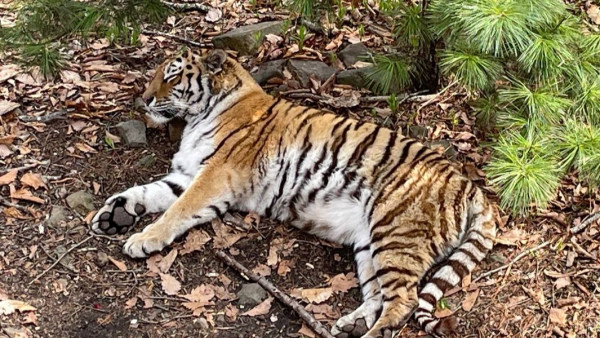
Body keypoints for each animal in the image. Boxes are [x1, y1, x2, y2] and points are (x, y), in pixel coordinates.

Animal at [91, 48, 496, 336]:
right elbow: (151, 190)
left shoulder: (217, 174)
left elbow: (177, 210)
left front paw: (142, 239)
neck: (202, 114)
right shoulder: (191, 172)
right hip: (370, 242)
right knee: (380, 295)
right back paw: (351, 324)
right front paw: (113, 214)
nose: (144, 99)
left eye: (171, 76)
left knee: (404, 301)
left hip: (395, 231)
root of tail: (470, 185)